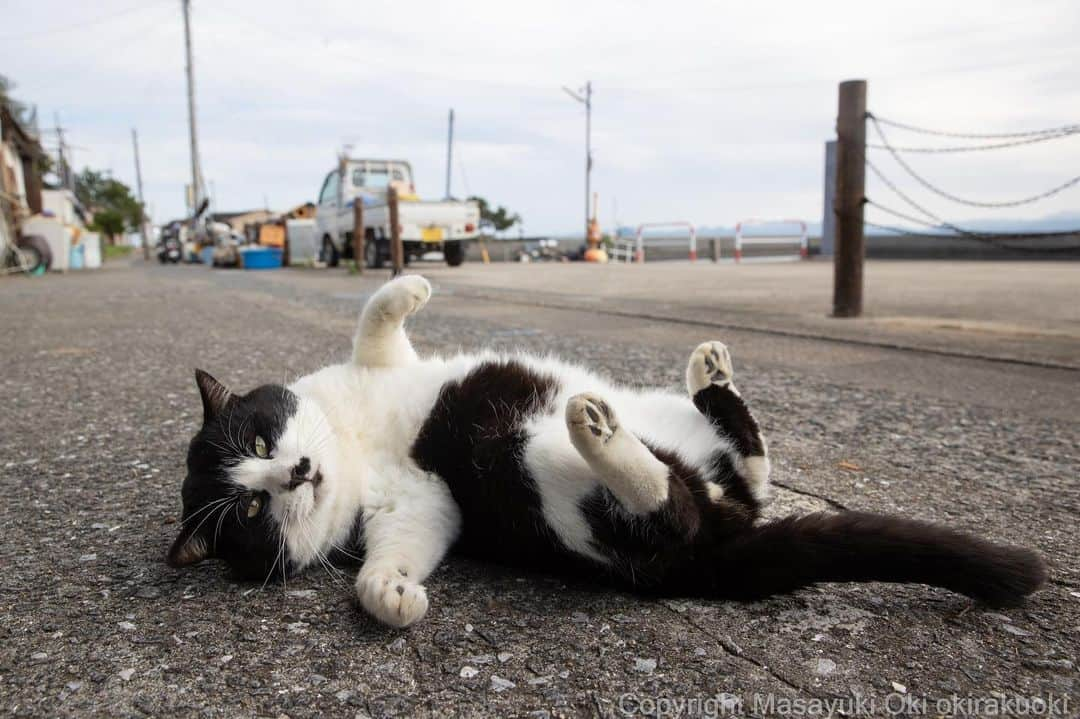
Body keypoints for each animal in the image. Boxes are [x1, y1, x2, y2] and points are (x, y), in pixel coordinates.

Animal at [166, 273, 1045, 621]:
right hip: (538, 475)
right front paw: (388, 595)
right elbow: (392, 554)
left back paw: (706, 373)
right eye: (249, 506)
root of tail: (724, 543)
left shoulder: (390, 391)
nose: (295, 469)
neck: (353, 445)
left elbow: (374, 315)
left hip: (663, 430)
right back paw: (604, 435)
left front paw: (412, 279)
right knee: (674, 506)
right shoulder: (419, 503)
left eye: (260, 432)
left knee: (745, 461)